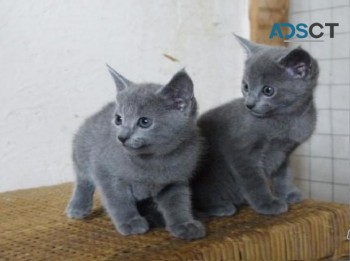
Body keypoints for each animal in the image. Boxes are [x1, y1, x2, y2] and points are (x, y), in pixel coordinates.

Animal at [66, 65, 205, 240]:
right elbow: (118, 200)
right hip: (81, 152)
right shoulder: (105, 172)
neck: (154, 160)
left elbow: (178, 203)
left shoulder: (175, 181)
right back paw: (78, 206)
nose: (122, 137)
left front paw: (184, 224)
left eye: (144, 122)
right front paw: (130, 222)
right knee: (83, 180)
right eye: (118, 119)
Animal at [193, 36, 318, 215]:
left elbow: (284, 175)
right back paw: (220, 207)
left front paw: (288, 194)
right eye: (245, 86)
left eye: (268, 90)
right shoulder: (241, 152)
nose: (249, 104)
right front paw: (267, 204)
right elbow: (255, 182)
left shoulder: (284, 152)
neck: (286, 119)